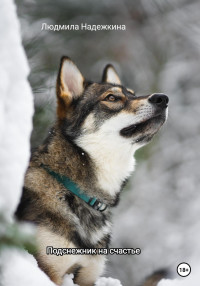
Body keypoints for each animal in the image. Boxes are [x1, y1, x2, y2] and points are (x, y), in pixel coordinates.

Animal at [16, 56, 169, 286]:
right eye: (112, 97)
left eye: (133, 93)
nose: (163, 98)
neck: (74, 192)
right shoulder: (49, 269)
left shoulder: (88, 276)